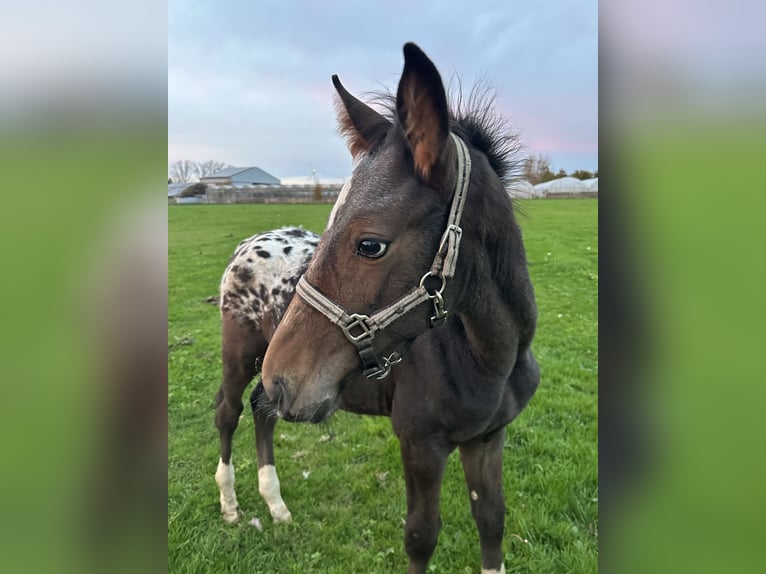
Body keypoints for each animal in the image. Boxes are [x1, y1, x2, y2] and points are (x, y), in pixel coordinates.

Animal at [215, 43, 540, 574]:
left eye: (370, 244)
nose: (285, 376)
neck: (491, 357)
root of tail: (250, 242)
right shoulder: (421, 444)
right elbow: (421, 536)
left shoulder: (488, 438)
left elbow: (492, 520)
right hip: (242, 354)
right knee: (229, 411)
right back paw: (230, 504)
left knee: (263, 410)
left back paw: (276, 505)